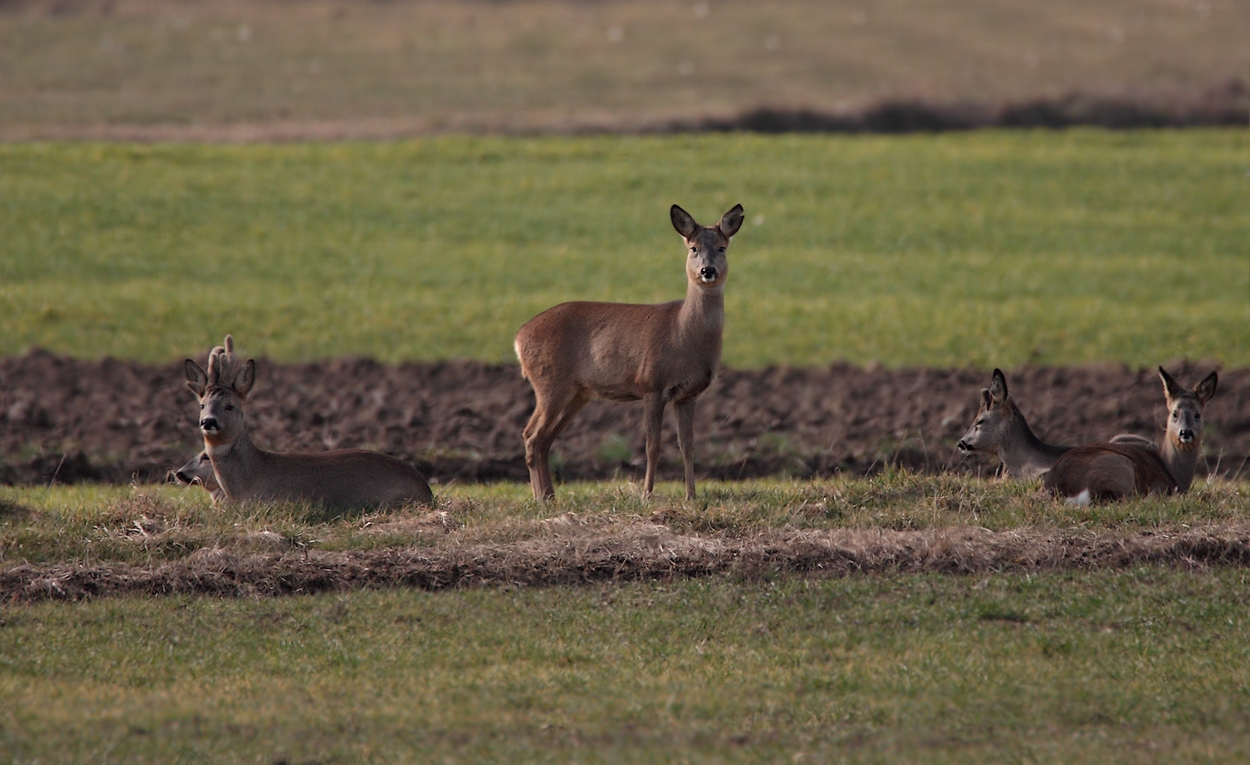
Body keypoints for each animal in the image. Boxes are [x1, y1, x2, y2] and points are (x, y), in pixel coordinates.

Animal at [510, 205, 740, 502]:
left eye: (722, 247)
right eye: (694, 248)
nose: (707, 270)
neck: (682, 332)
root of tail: (518, 338)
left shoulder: (688, 394)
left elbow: (688, 446)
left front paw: (691, 496)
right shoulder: (652, 384)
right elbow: (652, 446)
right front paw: (646, 494)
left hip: (577, 393)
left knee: (543, 439)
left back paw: (549, 496)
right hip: (550, 383)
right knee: (532, 435)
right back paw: (542, 498)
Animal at [1040, 365, 1215, 502]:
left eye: (1198, 415)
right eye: (1174, 413)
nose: (1185, 432)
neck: (1171, 470)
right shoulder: (1159, 486)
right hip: (1121, 465)